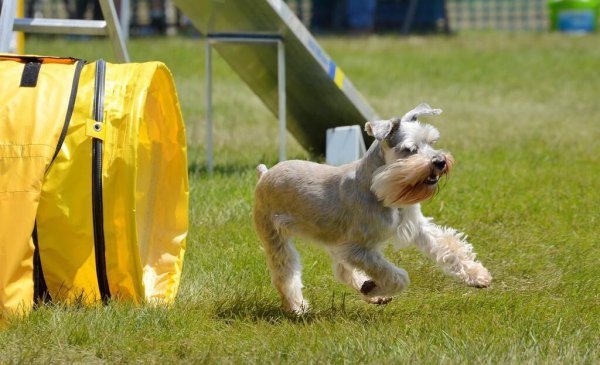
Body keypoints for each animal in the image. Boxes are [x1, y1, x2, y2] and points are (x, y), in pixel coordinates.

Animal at [253, 103, 492, 312]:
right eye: (410, 149)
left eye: (432, 141)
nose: (440, 161)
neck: (378, 188)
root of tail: (265, 174)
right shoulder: (358, 249)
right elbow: (397, 277)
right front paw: (375, 287)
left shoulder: (415, 226)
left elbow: (448, 246)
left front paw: (478, 275)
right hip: (276, 239)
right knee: (286, 275)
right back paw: (297, 307)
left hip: (333, 240)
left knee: (342, 271)